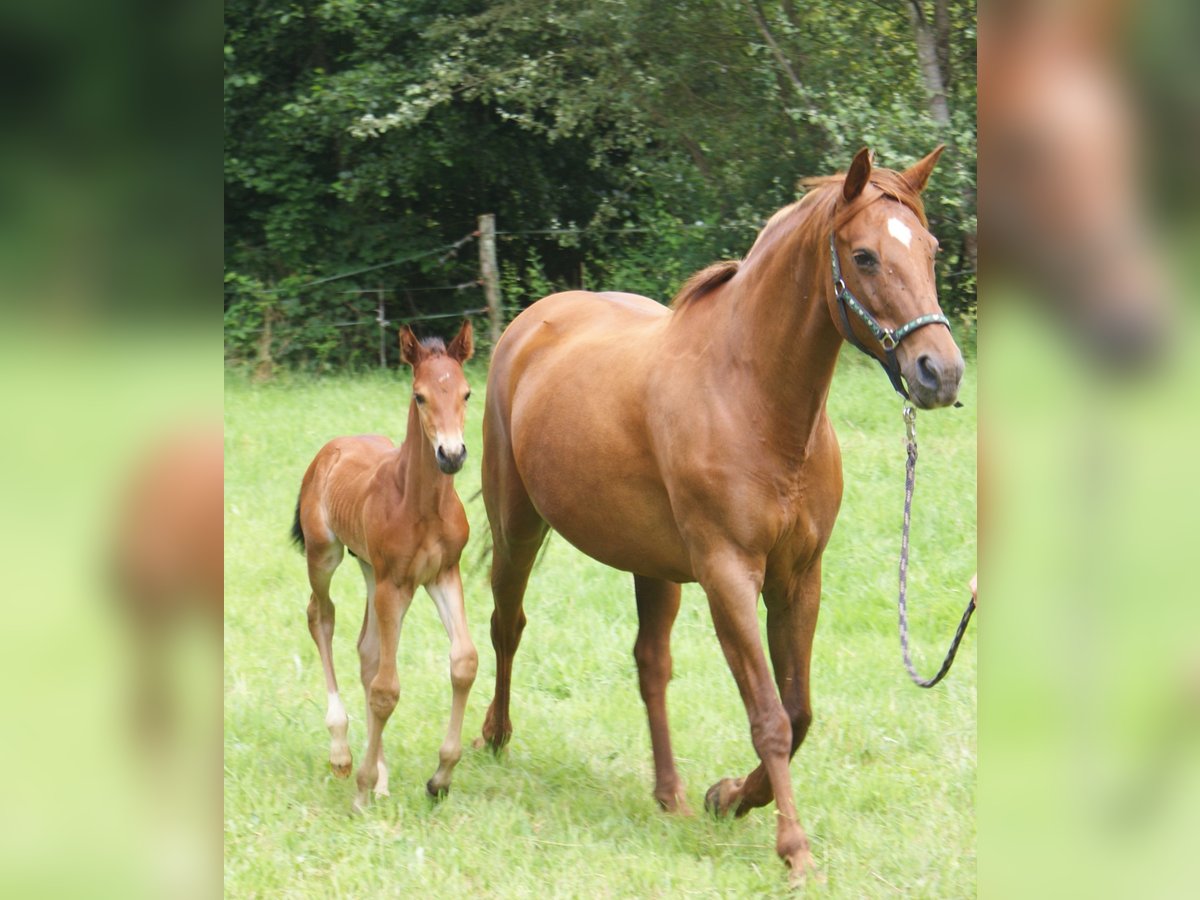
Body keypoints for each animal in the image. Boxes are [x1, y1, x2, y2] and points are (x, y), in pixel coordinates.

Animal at [291, 321, 477, 811]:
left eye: (467, 393)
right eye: (420, 396)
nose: (452, 454)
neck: (422, 504)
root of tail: (332, 448)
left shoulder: (442, 575)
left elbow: (463, 662)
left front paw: (440, 777)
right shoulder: (396, 583)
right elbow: (386, 688)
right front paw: (360, 788)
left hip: (371, 570)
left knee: (367, 651)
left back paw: (380, 775)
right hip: (326, 555)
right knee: (321, 616)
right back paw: (342, 752)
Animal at [477, 148, 964, 883]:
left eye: (931, 251)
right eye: (865, 256)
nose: (941, 372)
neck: (755, 399)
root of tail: (533, 322)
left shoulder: (799, 579)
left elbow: (799, 712)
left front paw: (729, 797)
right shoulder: (729, 577)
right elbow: (770, 717)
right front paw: (793, 847)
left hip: (652, 568)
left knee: (651, 663)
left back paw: (671, 795)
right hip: (518, 530)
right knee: (507, 625)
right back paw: (494, 737)